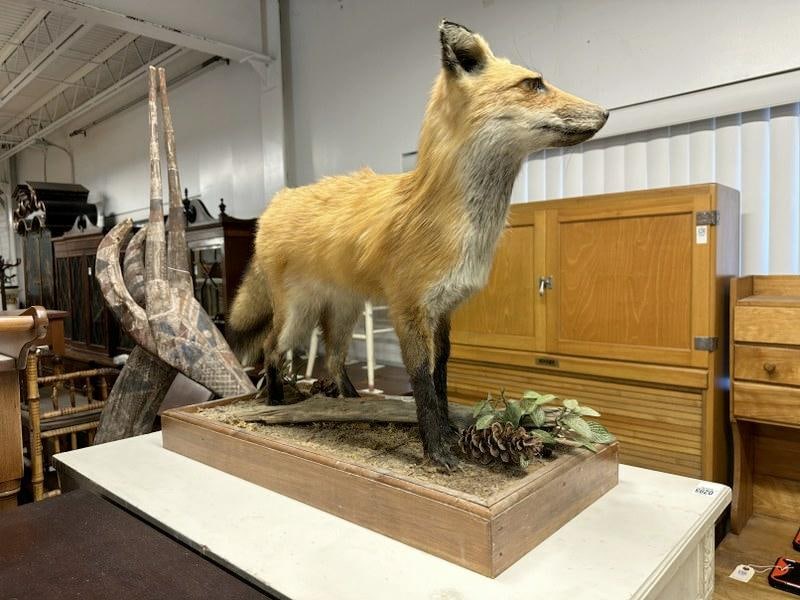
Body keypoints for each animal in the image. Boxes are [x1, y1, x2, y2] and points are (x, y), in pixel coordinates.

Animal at [229, 20, 608, 469]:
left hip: (343, 313)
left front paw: (447, 432)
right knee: (271, 350)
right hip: (297, 316)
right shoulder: (408, 307)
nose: (606, 112)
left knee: (334, 361)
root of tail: (275, 203)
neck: (452, 223)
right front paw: (437, 451)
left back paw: (352, 404)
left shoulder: (443, 309)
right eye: (534, 84)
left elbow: (441, 375)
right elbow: (422, 384)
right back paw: (274, 402)